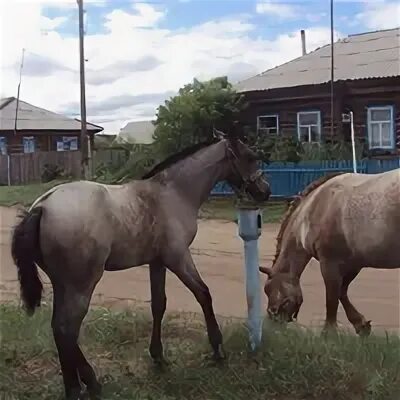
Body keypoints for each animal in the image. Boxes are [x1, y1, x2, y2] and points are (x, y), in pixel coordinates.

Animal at [11, 134, 272, 400]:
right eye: (249, 157)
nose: (265, 191)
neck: (172, 193)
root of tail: (42, 207)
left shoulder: (157, 262)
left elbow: (159, 304)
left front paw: (158, 357)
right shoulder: (178, 257)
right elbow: (203, 294)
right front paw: (218, 350)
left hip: (62, 284)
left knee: (59, 328)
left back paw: (75, 386)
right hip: (81, 284)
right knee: (66, 329)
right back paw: (88, 384)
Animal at [260, 170, 400, 336]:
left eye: (269, 289)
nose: (273, 317)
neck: (313, 208)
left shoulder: (329, 263)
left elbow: (332, 298)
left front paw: (329, 333)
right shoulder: (353, 264)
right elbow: (342, 292)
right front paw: (360, 324)